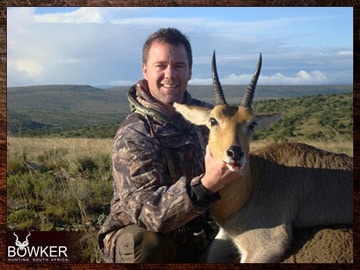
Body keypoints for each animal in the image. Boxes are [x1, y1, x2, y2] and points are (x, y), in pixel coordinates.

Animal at [173, 51, 352, 262]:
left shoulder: (265, 246)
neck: (251, 188)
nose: (235, 153)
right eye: (213, 120)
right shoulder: (225, 235)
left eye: (252, 124)